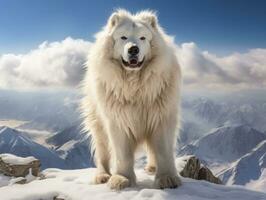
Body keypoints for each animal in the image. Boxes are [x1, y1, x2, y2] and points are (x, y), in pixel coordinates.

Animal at [80, 9, 182, 190]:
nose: (133, 49)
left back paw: (152, 167)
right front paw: (122, 178)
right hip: (97, 120)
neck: (134, 84)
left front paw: (167, 178)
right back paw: (102, 175)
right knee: (102, 150)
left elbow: (163, 149)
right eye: (123, 37)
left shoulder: (161, 115)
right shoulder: (118, 118)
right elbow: (122, 152)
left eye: (142, 38)